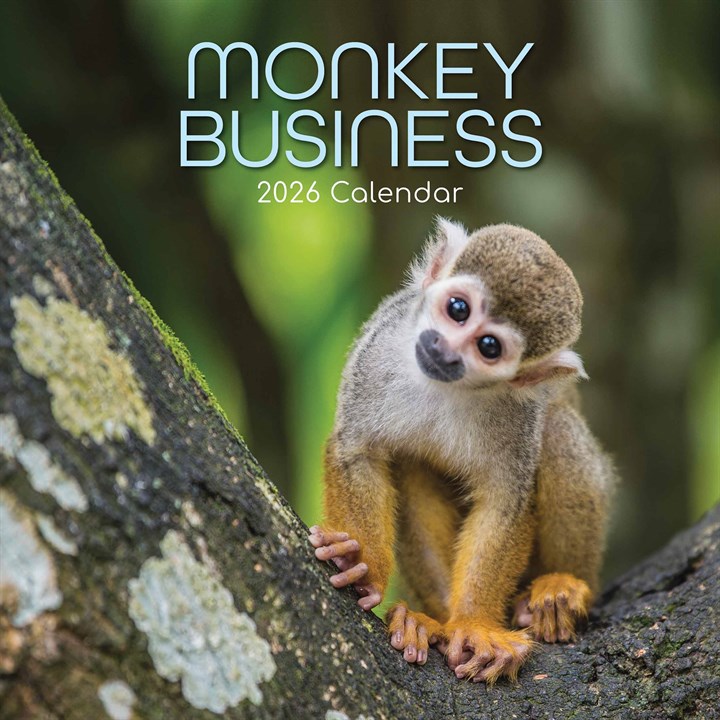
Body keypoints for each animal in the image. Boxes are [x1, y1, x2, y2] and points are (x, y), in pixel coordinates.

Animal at [308, 219, 615, 683]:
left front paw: (473, 624)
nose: (444, 348)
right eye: (457, 309)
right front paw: (360, 563)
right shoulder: (380, 343)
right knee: (411, 464)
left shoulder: (518, 411)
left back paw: (563, 589)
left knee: (558, 429)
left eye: (488, 347)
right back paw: (428, 621)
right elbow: (359, 450)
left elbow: (504, 502)